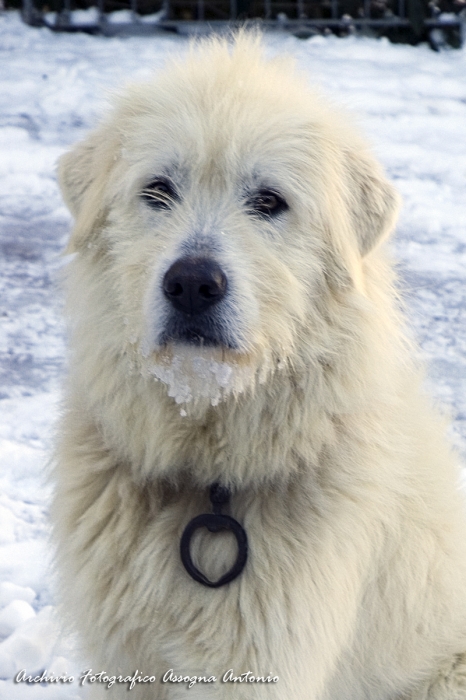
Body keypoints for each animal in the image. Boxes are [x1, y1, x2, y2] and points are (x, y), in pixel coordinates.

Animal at [52, 30, 466, 696]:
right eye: (158, 190)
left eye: (269, 200)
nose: (192, 284)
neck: (211, 477)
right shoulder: (122, 660)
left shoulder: (256, 663)